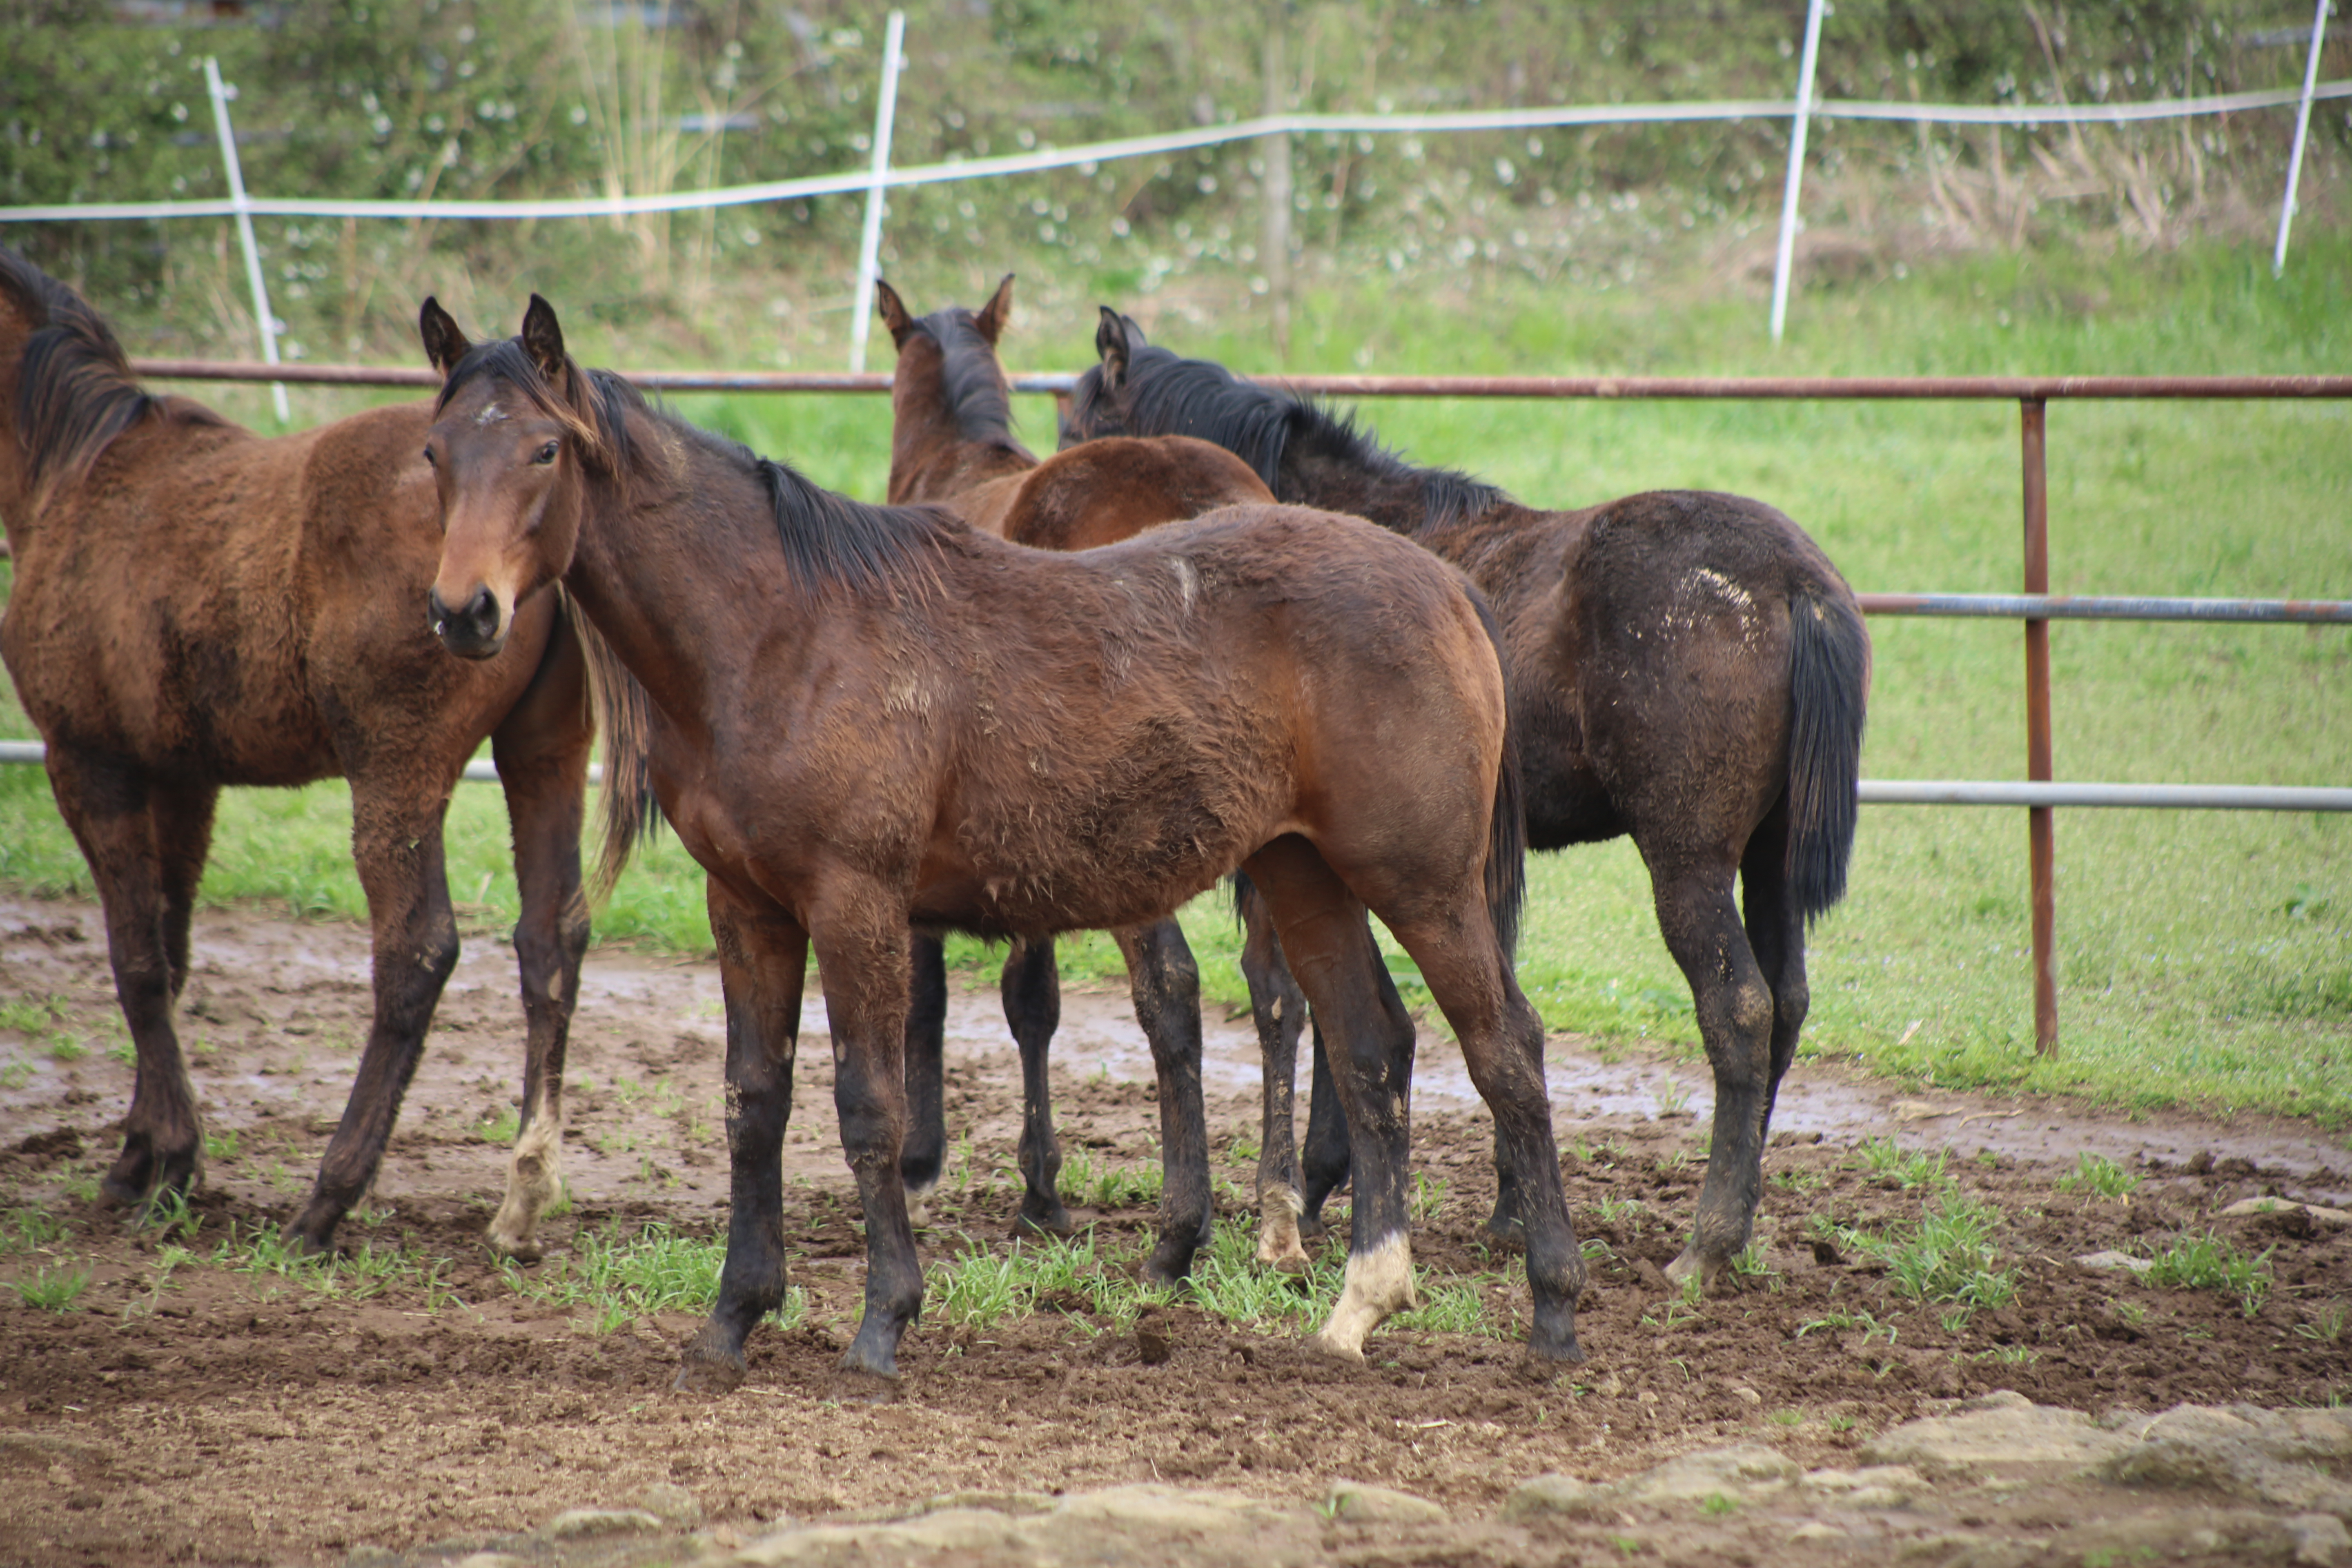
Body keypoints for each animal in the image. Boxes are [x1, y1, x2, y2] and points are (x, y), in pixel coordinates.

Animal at [0, 245, 597, 1260]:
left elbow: (135, 959)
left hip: (397, 770)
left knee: (415, 953)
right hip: (543, 757)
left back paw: (327, 1199)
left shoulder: (86, 761)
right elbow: (171, 949)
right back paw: (521, 1202)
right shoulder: (181, 779)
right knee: (549, 941)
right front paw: (141, 1155)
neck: (73, 473)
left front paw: (165, 1159)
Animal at [419, 294, 1580, 1382]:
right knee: (1373, 1047)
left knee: (1505, 1050)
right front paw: (732, 1319)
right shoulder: (746, 907)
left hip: (1424, 885)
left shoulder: (856, 903)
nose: (463, 612)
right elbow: (756, 1103)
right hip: (1306, 873)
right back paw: (1360, 1303)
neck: (782, 629)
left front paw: (883, 1322)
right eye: (434, 452)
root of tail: (1442, 582)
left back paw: (1552, 1311)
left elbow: (870, 1106)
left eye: (544, 449)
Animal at [1068, 312, 1872, 1297]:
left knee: (1742, 1012)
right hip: (1769, 858)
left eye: (1078, 431)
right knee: (1788, 1004)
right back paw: (1742, 1221)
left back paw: (1707, 1241)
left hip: (1688, 859)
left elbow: (1299, 1008)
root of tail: (1798, 584)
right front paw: (1500, 1207)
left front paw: (1302, 1200)